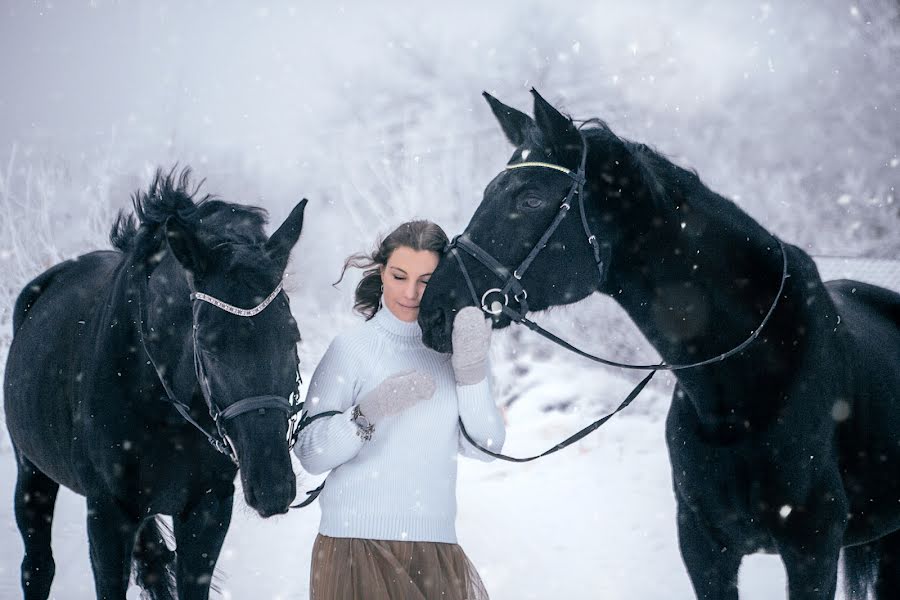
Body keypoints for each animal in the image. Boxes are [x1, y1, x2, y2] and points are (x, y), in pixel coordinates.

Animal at [4, 170, 310, 600]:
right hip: (32, 472)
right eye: (208, 343)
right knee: (37, 566)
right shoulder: (107, 513)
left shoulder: (208, 509)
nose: (273, 486)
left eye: (292, 336)